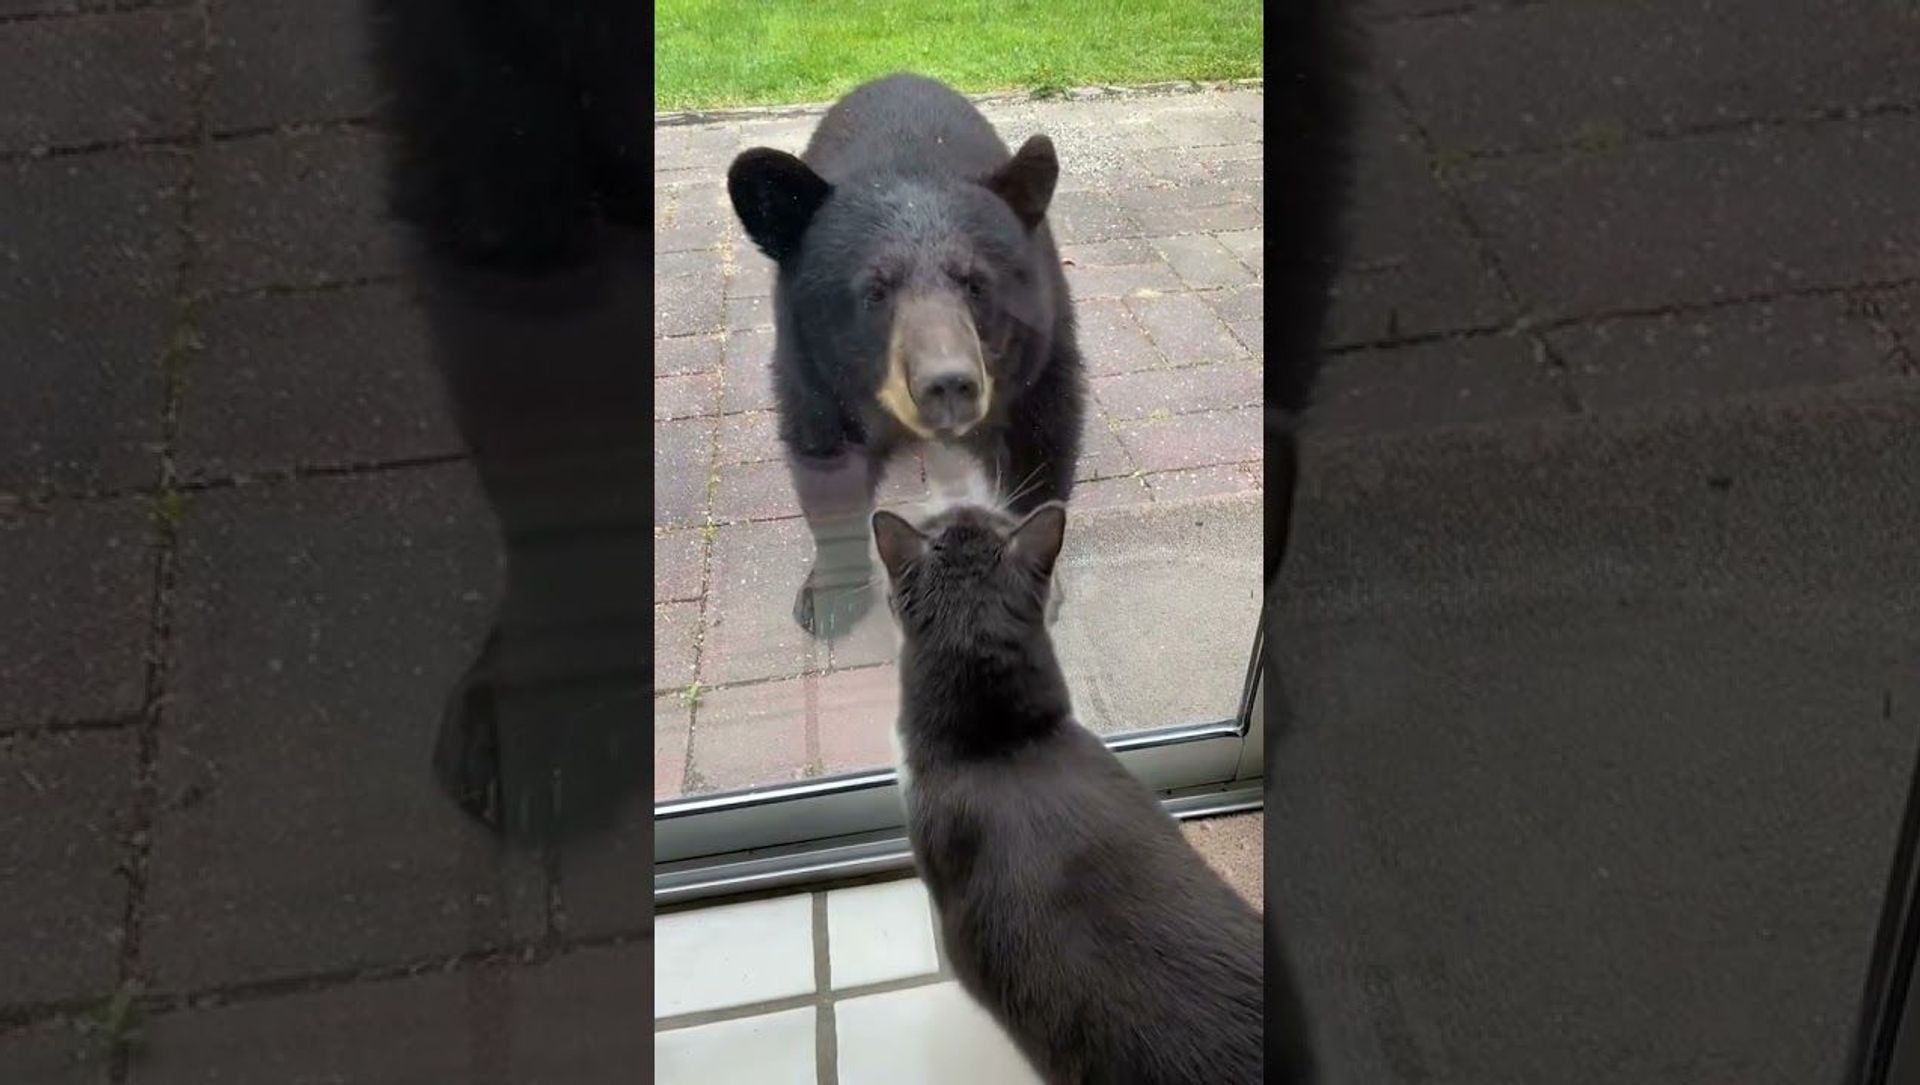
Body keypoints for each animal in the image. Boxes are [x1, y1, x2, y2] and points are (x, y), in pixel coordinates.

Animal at [726, 73, 1087, 638]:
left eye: (976, 283)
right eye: (874, 291)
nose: (949, 384)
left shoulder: (1040, 340)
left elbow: (1042, 436)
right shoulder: (810, 362)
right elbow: (824, 456)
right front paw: (828, 595)